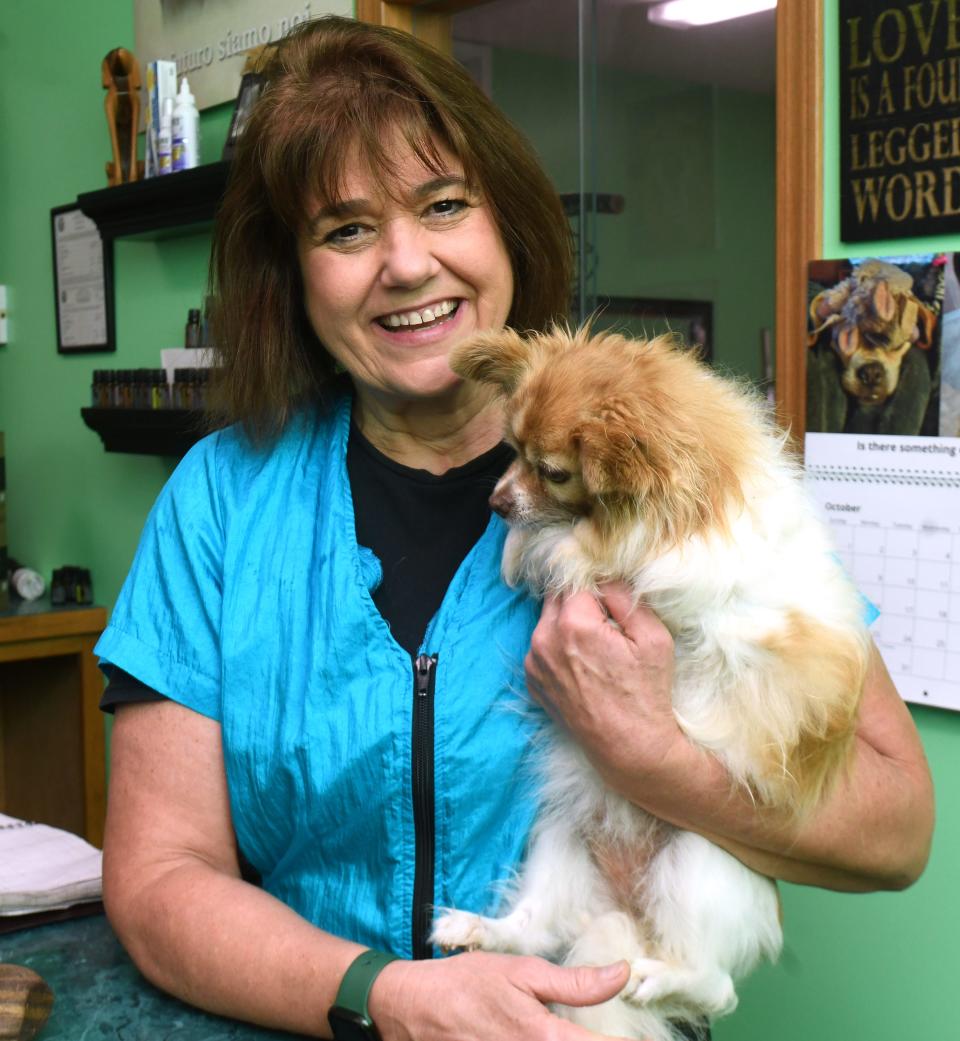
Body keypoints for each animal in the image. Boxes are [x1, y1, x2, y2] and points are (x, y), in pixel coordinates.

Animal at [433, 324, 866, 1041]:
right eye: (510, 451)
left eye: (554, 471)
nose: (496, 500)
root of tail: (629, 917)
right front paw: (531, 547)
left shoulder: (700, 583)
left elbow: (613, 558)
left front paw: (558, 549)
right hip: (558, 840)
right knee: (537, 928)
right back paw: (480, 931)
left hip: (697, 857)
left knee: (714, 985)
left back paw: (652, 976)